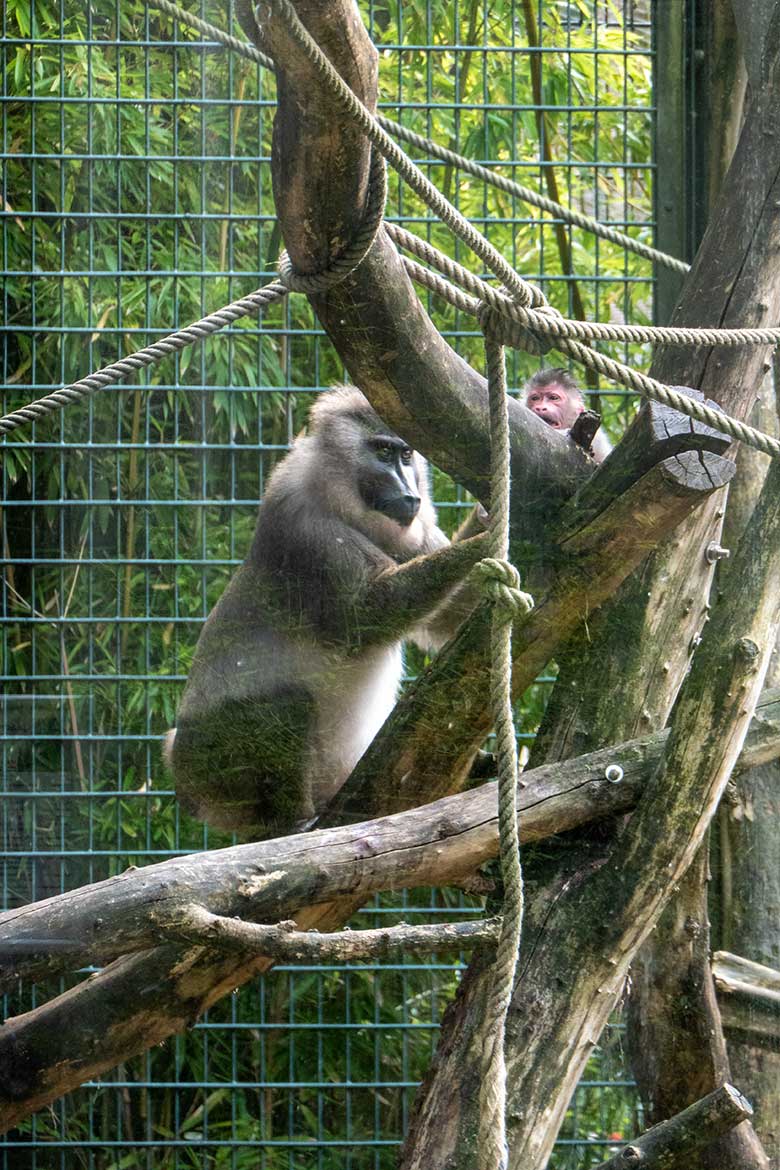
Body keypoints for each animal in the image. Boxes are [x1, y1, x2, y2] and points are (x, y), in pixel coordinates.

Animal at [166, 388, 488, 837]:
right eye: (382, 452)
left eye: (406, 454)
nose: (411, 494)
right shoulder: (308, 531)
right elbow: (367, 616)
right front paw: (485, 541)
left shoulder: (415, 533)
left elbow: (447, 619)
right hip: (209, 762)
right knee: (288, 705)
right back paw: (293, 822)